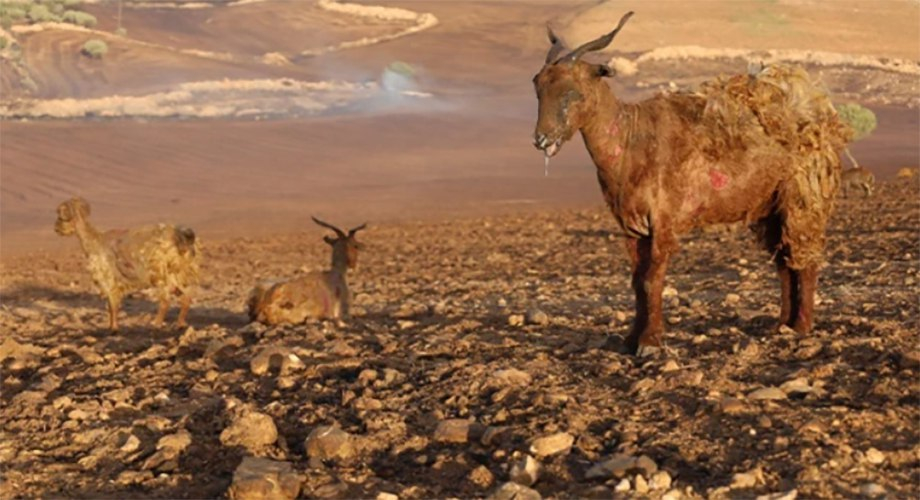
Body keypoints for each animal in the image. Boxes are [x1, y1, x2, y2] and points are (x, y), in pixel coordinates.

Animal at [54, 196, 199, 332]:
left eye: (61, 216)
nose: (56, 229)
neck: (94, 240)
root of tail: (183, 237)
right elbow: (111, 306)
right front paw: (111, 326)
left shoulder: (109, 278)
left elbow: (113, 305)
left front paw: (114, 328)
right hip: (178, 273)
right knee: (186, 298)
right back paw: (180, 324)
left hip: (159, 273)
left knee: (165, 300)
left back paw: (156, 324)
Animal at [528, 12, 852, 356]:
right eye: (538, 87)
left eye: (572, 91)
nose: (541, 139)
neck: (630, 140)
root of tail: (821, 118)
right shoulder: (632, 227)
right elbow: (636, 282)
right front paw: (630, 340)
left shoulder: (663, 221)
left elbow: (652, 279)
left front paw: (650, 342)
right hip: (771, 208)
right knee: (784, 262)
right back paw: (783, 325)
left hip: (803, 200)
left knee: (806, 259)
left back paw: (802, 327)